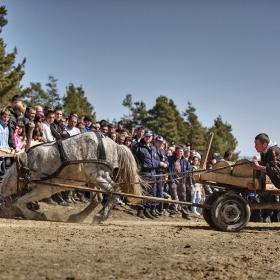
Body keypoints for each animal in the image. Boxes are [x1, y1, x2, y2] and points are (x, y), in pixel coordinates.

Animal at [0, 132, 143, 224]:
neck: (24, 168)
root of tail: (116, 145)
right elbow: (21, 201)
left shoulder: (43, 189)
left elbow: (20, 202)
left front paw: (34, 215)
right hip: (92, 179)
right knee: (97, 198)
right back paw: (77, 217)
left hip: (99, 175)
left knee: (115, 190)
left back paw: (100, 216)